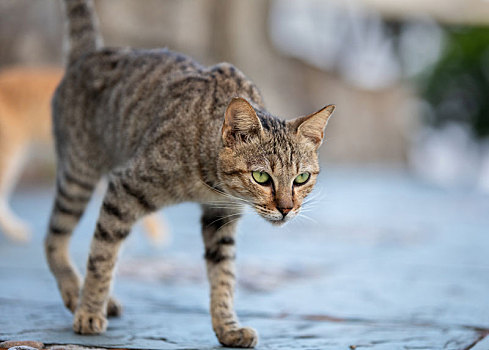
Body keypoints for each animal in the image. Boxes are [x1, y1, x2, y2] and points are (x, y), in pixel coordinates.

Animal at [44, 1, 336, 348]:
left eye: (301, 179)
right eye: (262, 178)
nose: (286, 209)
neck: (211, 183)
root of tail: (89, 53)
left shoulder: (220, 218)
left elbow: (224, 275)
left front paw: (227, 327)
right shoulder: (123, 190)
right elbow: (102, 257)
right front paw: (89, 311)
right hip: (78, 175)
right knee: (53, 238)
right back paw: (77, 296)